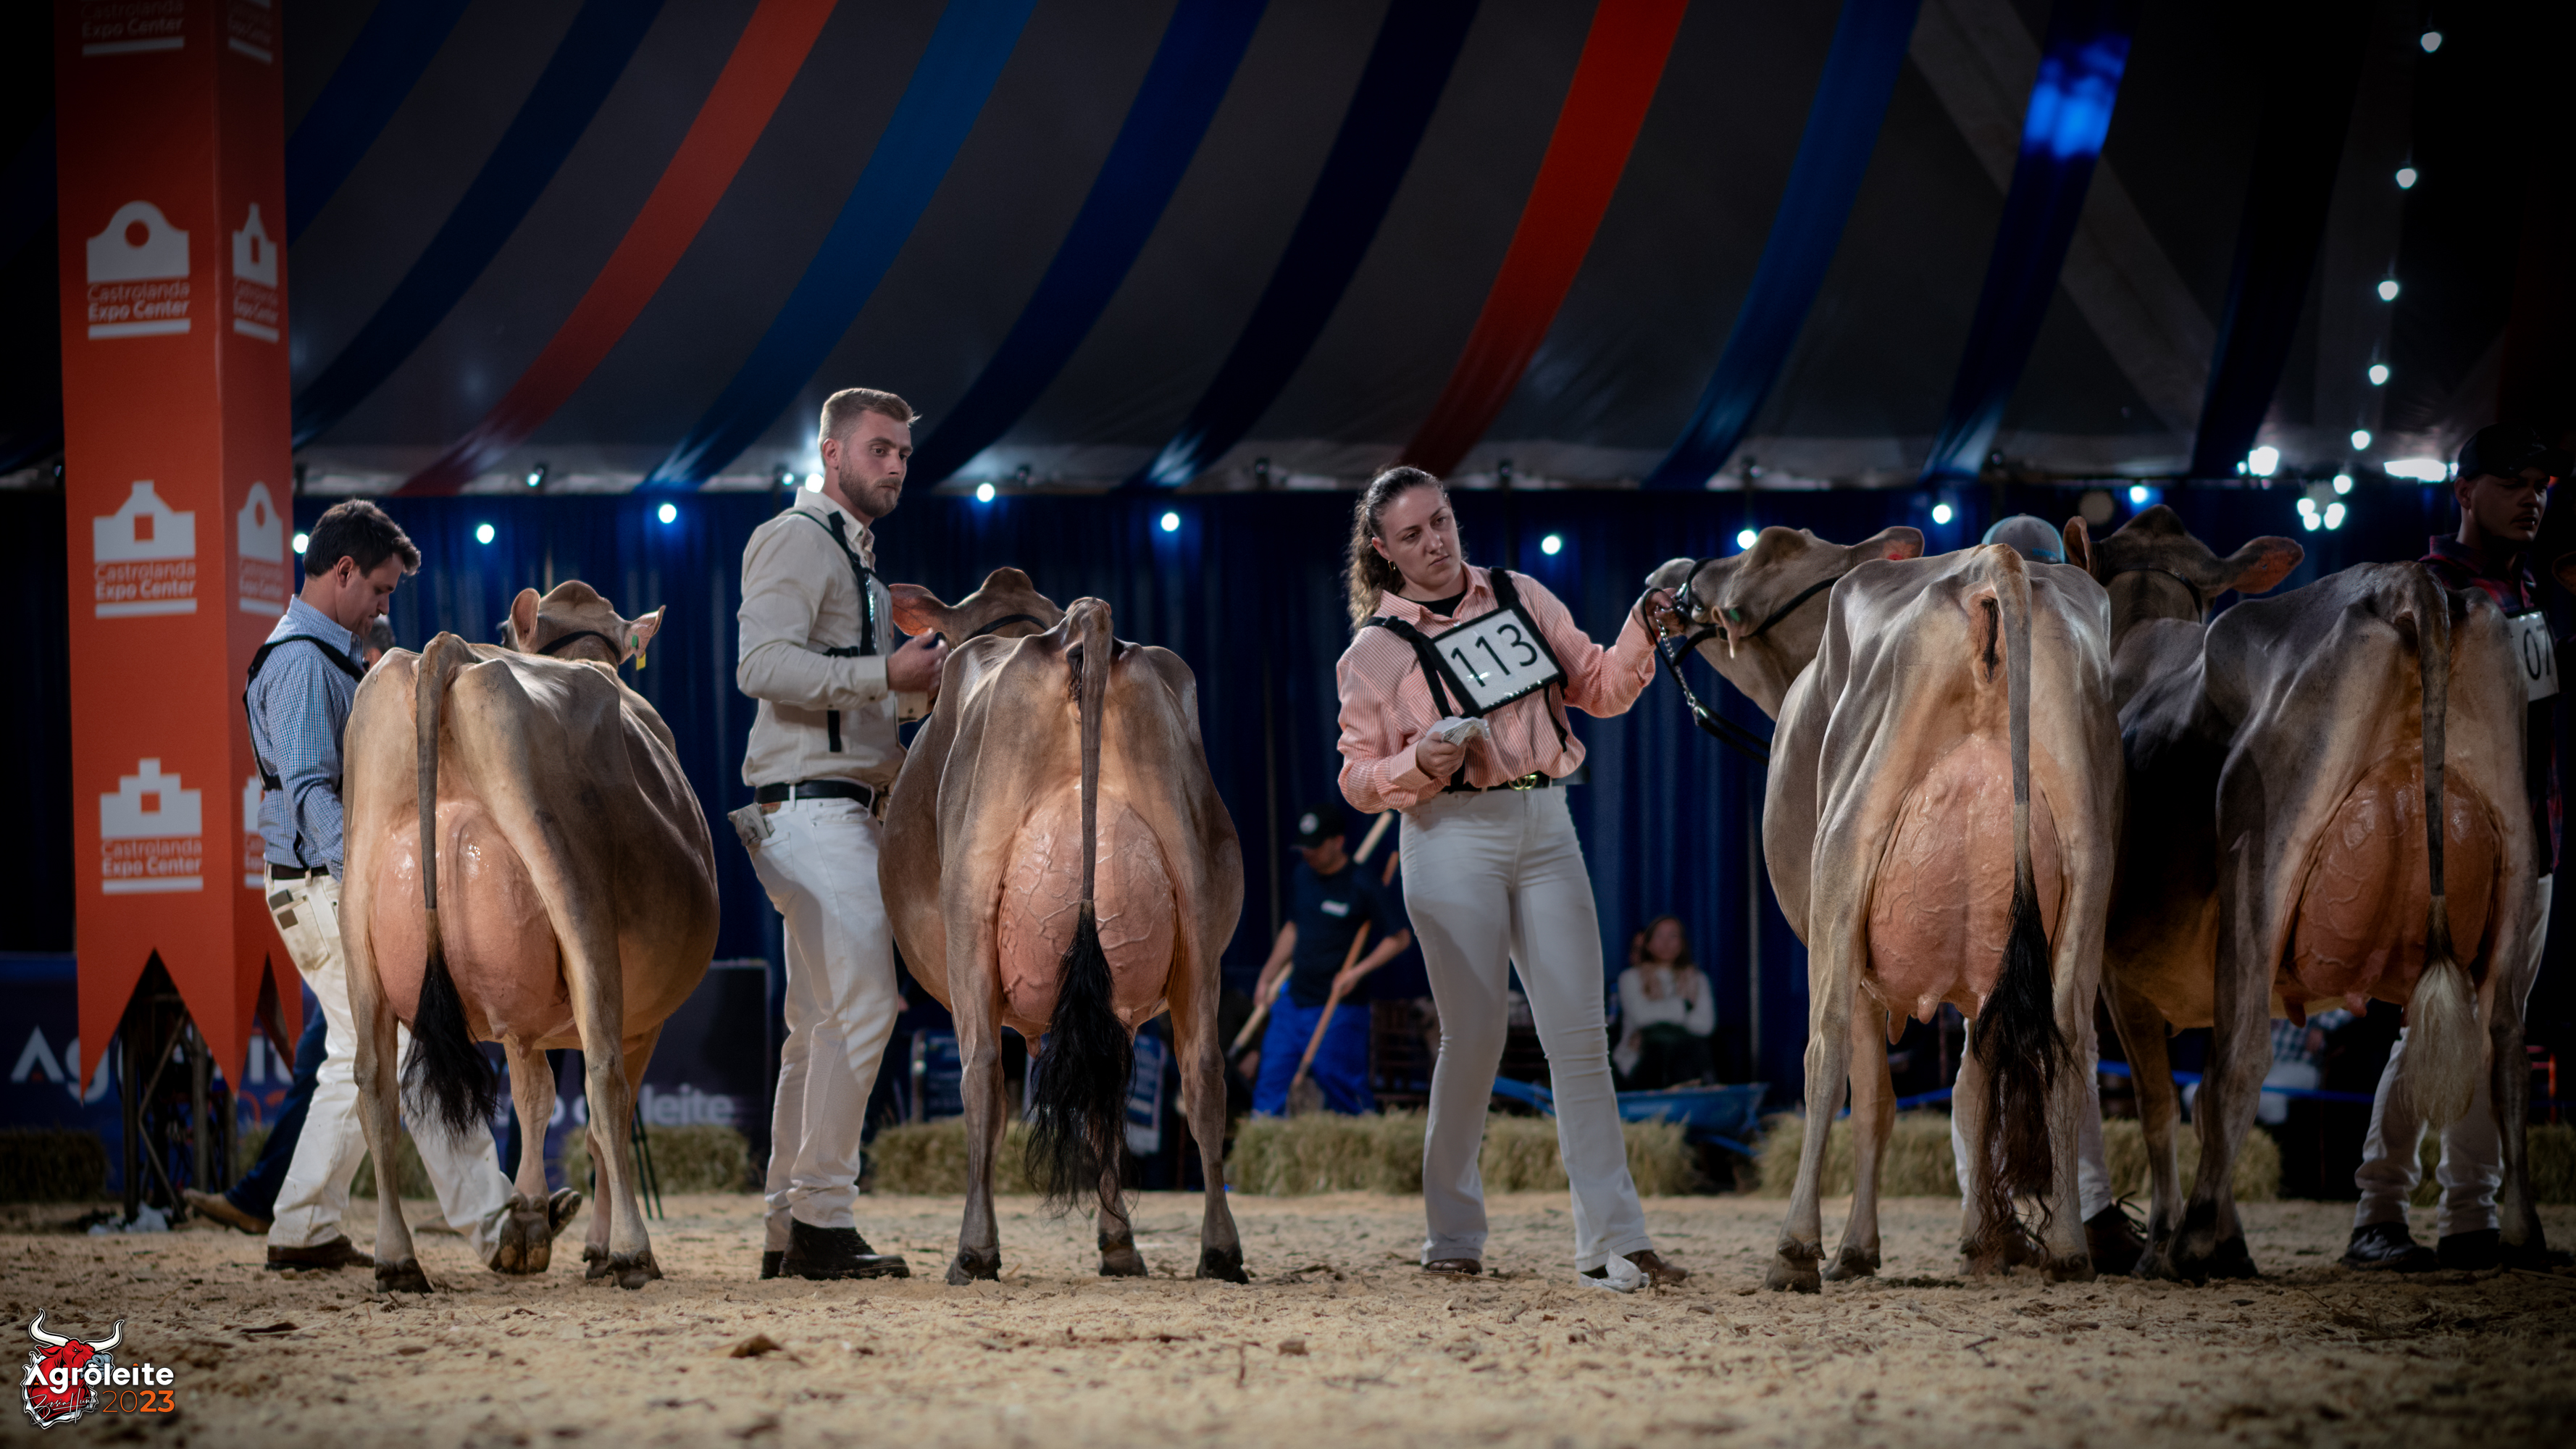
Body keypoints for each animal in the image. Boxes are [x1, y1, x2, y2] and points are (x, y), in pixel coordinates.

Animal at [339, 580, 720, 1292]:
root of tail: (450, 651)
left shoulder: (520, 1020)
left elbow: (533, 1098)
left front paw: (526, 1221)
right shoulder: (643, 1022)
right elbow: (594, 1121)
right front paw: (587, 1241)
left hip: (358, 922)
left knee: (374, 1086)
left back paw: (397, 1257)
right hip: (581, 906)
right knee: (604, 1083)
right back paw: (632, 1250)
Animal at [879, 568, 1248, 1285]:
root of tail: (1077, 628)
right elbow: (1107, 1104)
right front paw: (1119, 1243)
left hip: (971, 919)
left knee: (981, 1075)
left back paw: (974, 1250)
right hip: (1198, 917)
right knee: (1202, 1074)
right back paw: (1218, 1250)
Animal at [2095, 536, 2544, 1278]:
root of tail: (2408, 581)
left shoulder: (2118, 974)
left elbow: (2158, 1106)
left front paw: (2167, 1240)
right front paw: (2233, 1245)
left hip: (2261, 848)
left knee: (2241, 1055)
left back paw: (2190, 1242)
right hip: (2518, 850)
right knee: (2505, 1047)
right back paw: (2522, 1235)